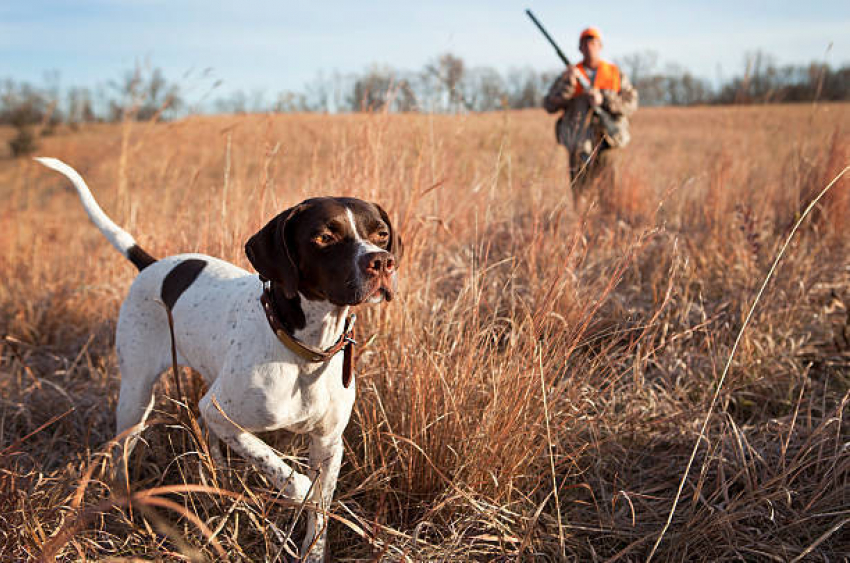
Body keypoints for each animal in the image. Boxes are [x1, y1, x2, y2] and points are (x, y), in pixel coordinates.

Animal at [36, 156, 400, 560]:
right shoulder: (220, 412)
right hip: (136, 395)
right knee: (120, 455)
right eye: (324, 237)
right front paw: (301, 491)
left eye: (381, 233)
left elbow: (318, 514)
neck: (305, 350)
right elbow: (289, 476)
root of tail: (152, 265)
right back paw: (124, 504)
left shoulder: (328, 441)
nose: (382, 262)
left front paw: (312, 550)